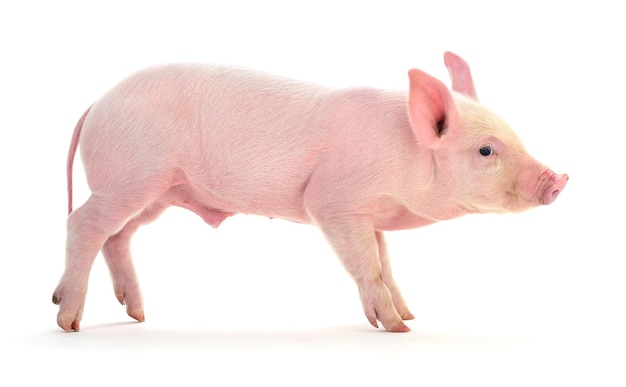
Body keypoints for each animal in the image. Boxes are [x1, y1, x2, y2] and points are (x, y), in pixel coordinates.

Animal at [51, 52, 564, 334]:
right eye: (486, 150)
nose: (559, 179)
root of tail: (96, 103)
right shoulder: (333, 200)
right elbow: (368, 266)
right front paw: (398, 329)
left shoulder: (371, 216)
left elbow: (384, 262)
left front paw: (411, 314)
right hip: (131, 176)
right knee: (83, 223)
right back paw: (69, 321)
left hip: (155, 192)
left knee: (116, 236)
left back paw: (137, 315)